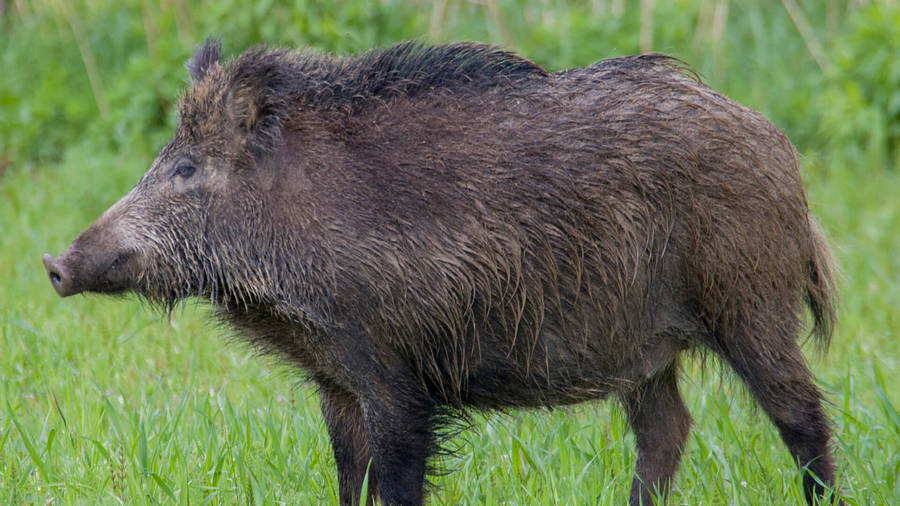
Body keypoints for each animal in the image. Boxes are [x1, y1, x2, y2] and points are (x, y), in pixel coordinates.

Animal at [43, 39, 840, 505]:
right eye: (161, 159)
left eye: (186, 169)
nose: (54, 263)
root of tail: (778, 146)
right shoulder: (336, 377)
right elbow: (349, 476)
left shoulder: (397, 372)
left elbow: (397, 481)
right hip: (646, 346)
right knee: (668, 428)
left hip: (749, 302)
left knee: (800, 413)